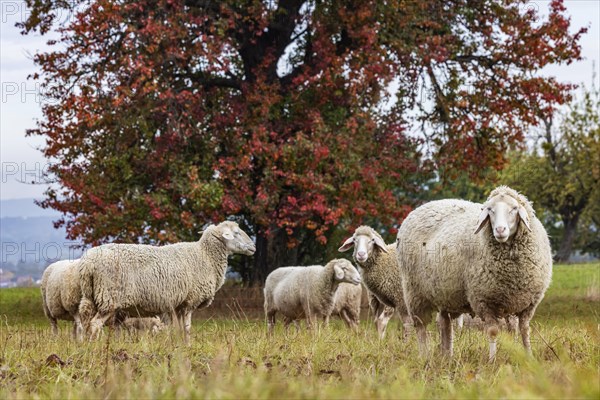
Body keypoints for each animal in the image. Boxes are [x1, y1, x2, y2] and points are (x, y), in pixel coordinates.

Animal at [78, 220, 255, 342]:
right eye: (237, 232)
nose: (253, 247)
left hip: (91, 297)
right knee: (94, 325)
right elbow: (187, 329)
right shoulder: (190, 301)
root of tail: (88, 263)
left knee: (85, 324)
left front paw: (180, 346)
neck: (205, 255)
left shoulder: (178, 304)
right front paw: (188, 347)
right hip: (109, 298)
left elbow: (179, 329)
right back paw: (94, 348)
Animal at [396, 186, 552, 360]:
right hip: (414, 292)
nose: (500, 230)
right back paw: (425, 356)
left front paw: (529, 357)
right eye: (490, 210)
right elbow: (493, 331)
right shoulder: (485, 300)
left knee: (444, 324)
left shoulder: (529, 304)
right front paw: (492, 360)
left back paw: (447, 356)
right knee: (421, 326)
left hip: (445, 295)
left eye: (514, 208)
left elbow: (524, 330)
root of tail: (421, 207)